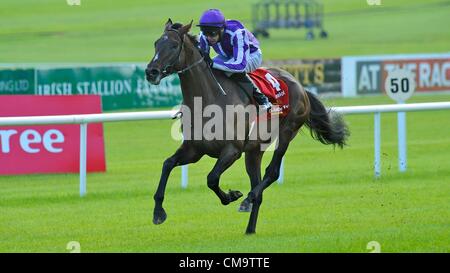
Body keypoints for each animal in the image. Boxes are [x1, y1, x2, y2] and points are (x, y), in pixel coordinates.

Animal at [144, 19, 348, 233]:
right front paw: (158, 212)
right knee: (258, 184)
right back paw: (250, 228)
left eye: (174, 45)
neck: (208, 99)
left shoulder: (232, 150)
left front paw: (232, 196)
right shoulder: (194, 149)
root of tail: (300, 85)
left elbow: (212, 178)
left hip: (287, 132)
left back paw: (247, 200)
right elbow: (168, 164)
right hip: (254, 150)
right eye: (156, 43)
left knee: (272, 172)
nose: (151, 72)